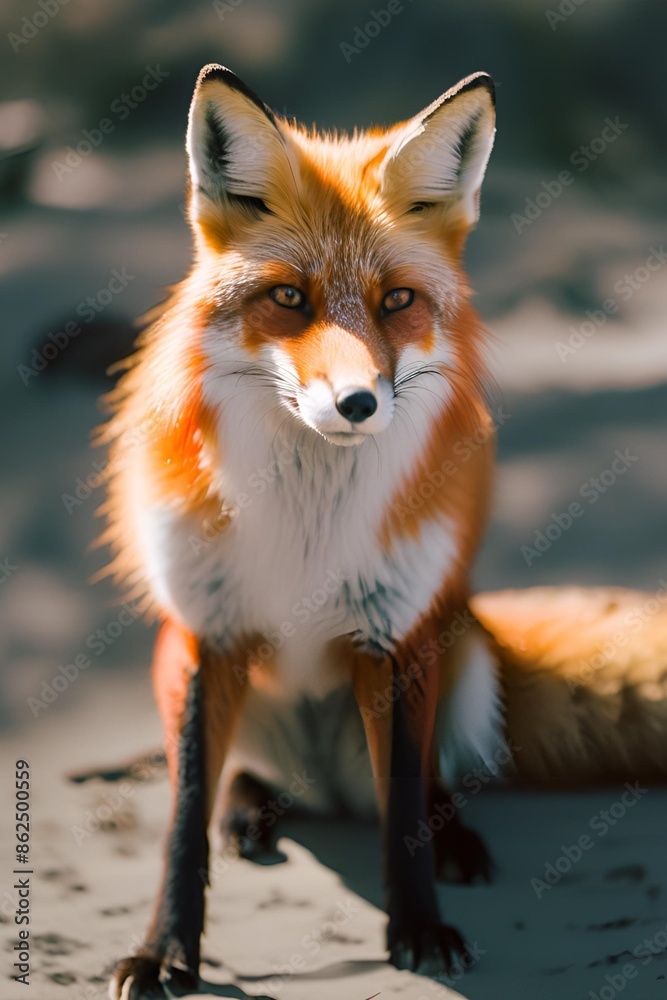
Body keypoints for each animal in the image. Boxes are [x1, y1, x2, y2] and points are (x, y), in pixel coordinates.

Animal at [100, 65, 667, 997]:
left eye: (396, 301)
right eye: (288, 298)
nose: (358, 403)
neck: (308, 522)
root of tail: (327, 789)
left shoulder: (394, 634)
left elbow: (402, 805)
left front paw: (420, 928)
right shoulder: (208, 633)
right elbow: (181, 823)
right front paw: (164, 951)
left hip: (461, 650)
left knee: (426, 783)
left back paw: (455, 838)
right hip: (174, 667)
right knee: (239, 780)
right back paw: (248, 810)